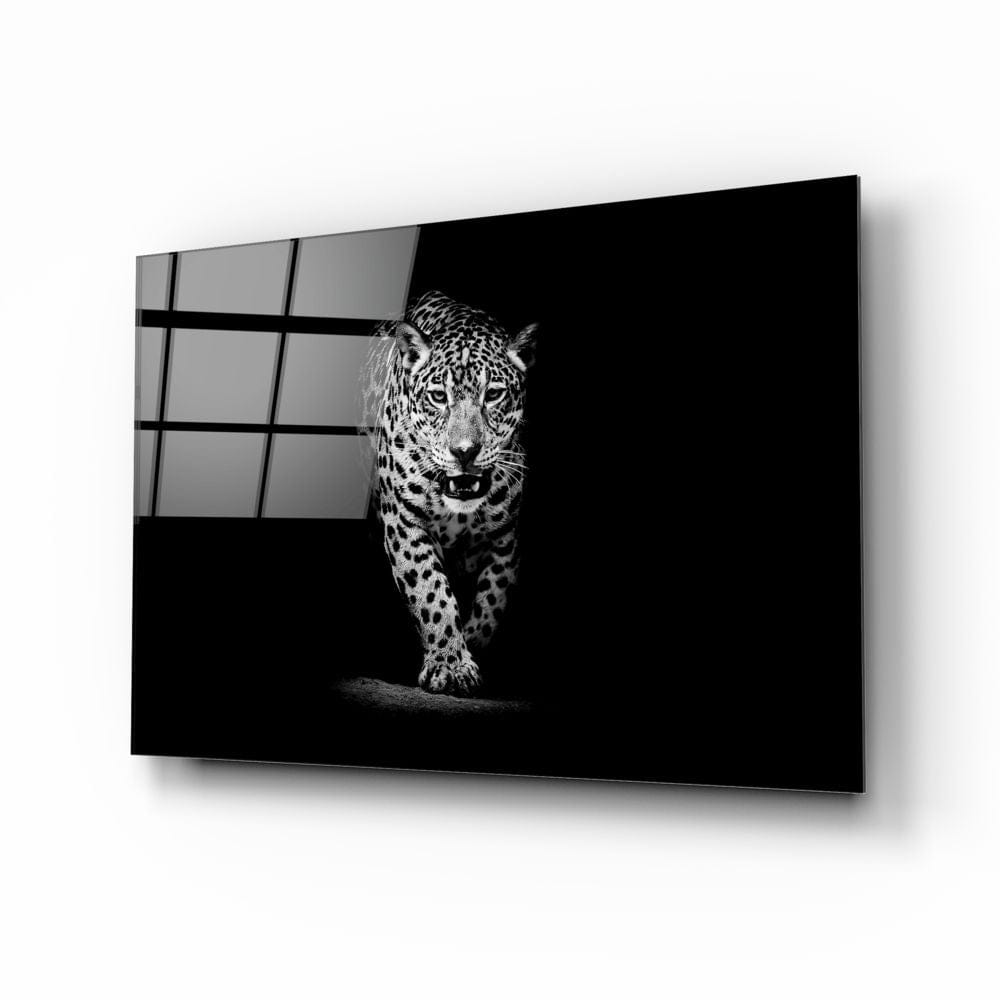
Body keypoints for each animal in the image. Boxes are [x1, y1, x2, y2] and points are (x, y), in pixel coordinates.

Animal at [363, 290, 539, 697]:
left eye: (493, 394)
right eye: (438, 396)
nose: (464, 451)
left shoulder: (505, 538)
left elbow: (493, 602)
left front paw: (470, 649)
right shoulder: (405, 523)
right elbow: (432, 592)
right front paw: (451, 664)